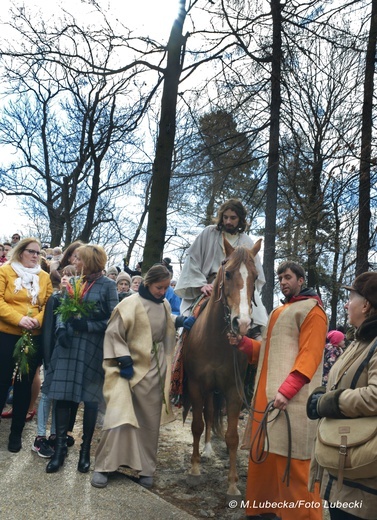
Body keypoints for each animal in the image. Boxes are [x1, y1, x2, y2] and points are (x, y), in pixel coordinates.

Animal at [181, 236, 260, 496]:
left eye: (255, 276)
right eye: (228, 273)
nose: (242, 323)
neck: (215, 340)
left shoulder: (233, 390)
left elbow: (232, 436)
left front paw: (233, 483)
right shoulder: (196, 385)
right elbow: (197, 424)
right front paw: (194, 469)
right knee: (207, 414)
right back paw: (205, 451)